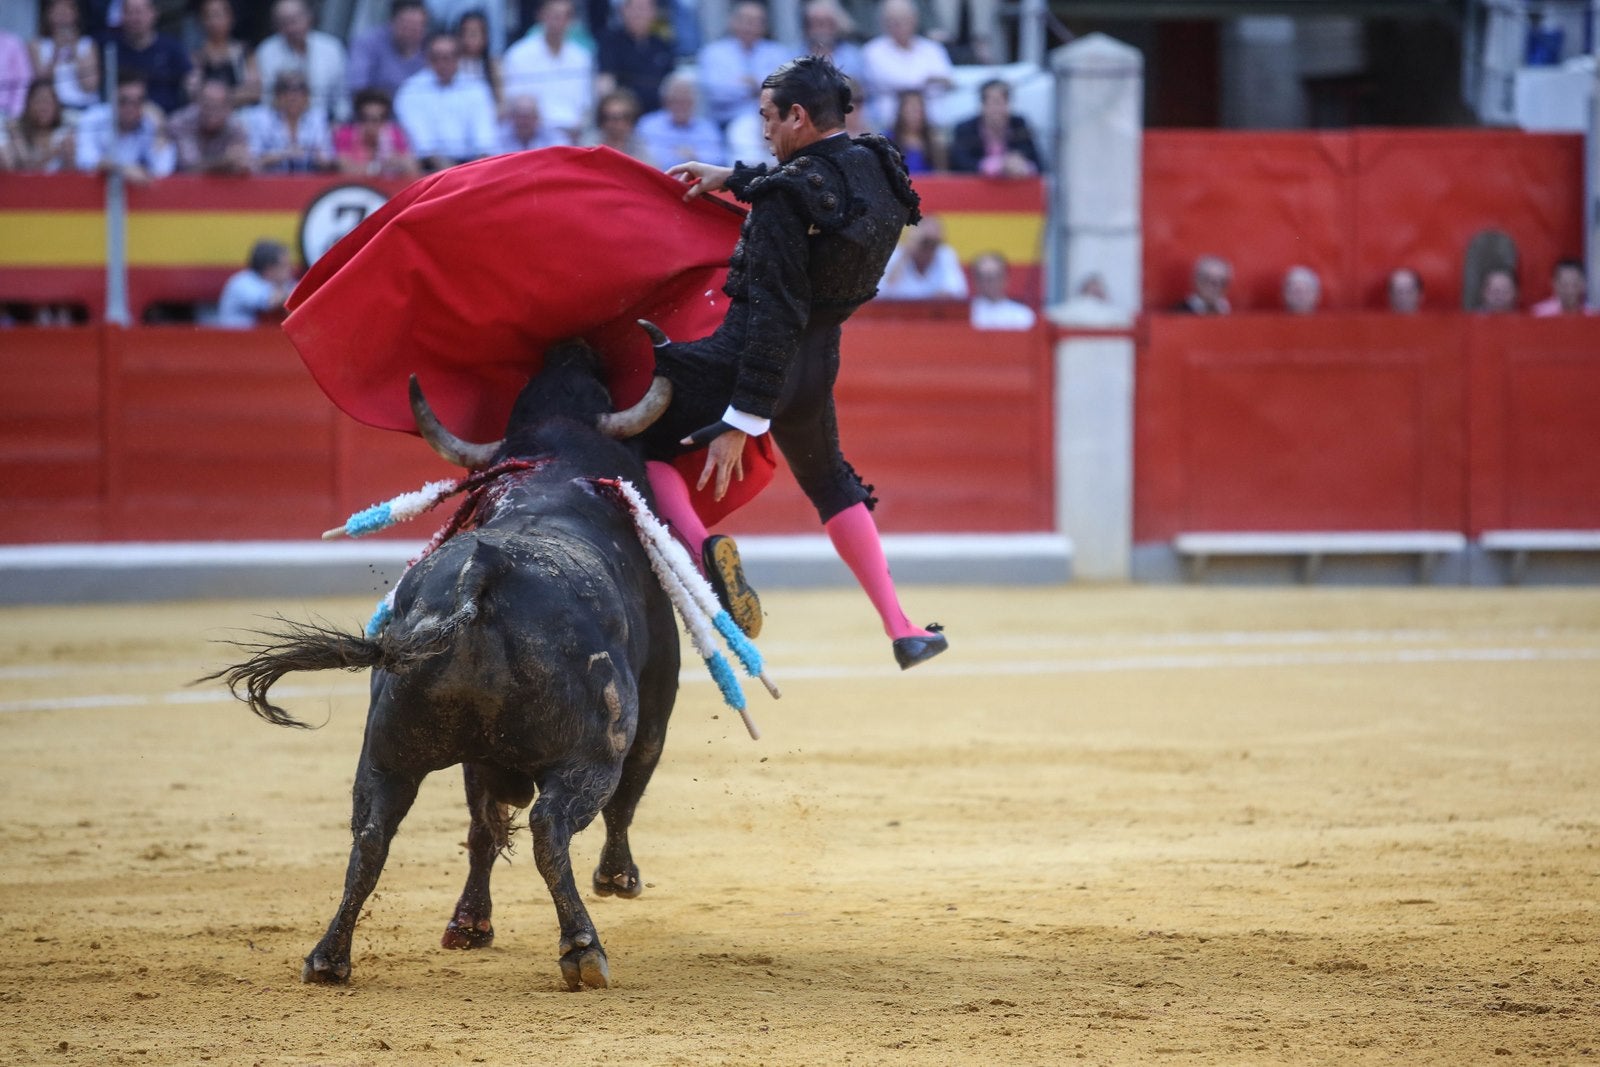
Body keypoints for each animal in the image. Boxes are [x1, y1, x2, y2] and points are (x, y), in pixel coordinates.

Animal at [203, 342, 678, 991]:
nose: (571, 346)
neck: (554, 470)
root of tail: (481, 577)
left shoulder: (478, 756)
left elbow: (482, 828)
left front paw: (470, 926)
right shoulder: (655, 701)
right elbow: (629, 791)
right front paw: (618, 879)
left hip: (388, 749)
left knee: (372, 835)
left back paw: (329, 957)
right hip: (589, 755)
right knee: (553, 827)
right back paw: (583, 949)